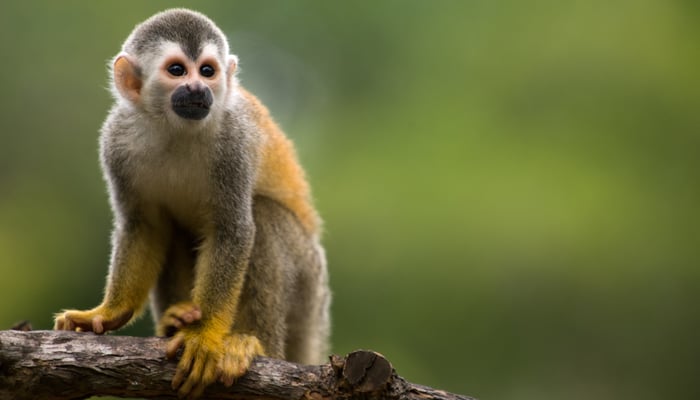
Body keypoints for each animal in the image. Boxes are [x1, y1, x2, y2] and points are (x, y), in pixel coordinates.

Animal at [53, 8, 330, 398]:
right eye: (177, 70)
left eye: (208, 71)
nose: (199, 89)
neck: (175, 128)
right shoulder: (115, 140)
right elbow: (144, 225)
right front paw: (108, 313)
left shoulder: (234, 141)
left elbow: (232, 229)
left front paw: (204, 335)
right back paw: (176, 319)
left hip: (309, 286)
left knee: (262, 215)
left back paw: (252, 344)